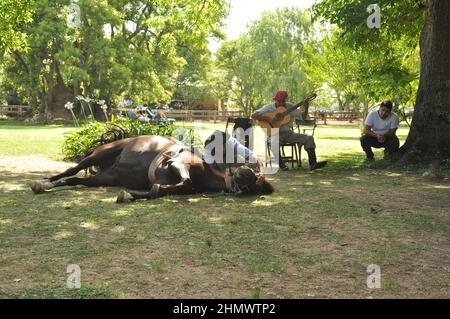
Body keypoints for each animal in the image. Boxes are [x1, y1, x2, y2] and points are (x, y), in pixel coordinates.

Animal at [29, 135, 274, 202]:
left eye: (256, 184)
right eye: (256, 174)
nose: (245, 176)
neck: (205, 171)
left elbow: (159, 190)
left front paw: (129, 195)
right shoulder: (178, 163)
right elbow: (183, 179)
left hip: (104, 177)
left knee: (75, 180)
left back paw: (48, 186)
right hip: (98, 155)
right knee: (71, 171)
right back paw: (42, 183)